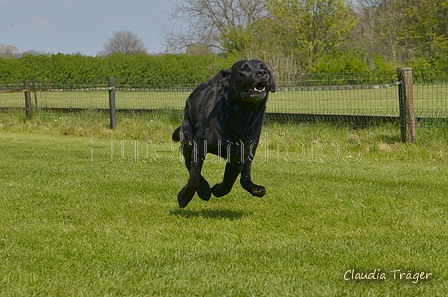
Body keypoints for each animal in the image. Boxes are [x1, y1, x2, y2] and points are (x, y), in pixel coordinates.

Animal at [172, 59, 274, 208]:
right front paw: (184, 197)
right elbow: (194, 176)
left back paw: (254, 188)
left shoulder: (239, 153)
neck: (241, 114)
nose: (262, 73)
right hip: (188, 138)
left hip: (252, 150)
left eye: (264, 67)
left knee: (245, 175)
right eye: (244, 69)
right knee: (188, 163)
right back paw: (203, 189)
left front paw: (218, 189)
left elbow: (229, 179)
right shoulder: (200, 146)